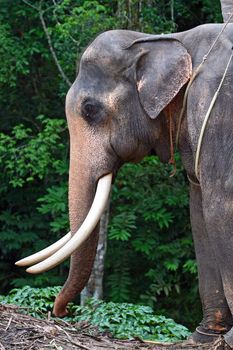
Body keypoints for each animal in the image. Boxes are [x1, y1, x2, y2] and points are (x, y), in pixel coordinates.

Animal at [16, 22, 233, 348]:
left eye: (90, 109)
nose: (62, 312)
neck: (170, 40)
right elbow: (200, 214)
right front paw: (204, 337)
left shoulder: (217, 112)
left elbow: (220, 209)